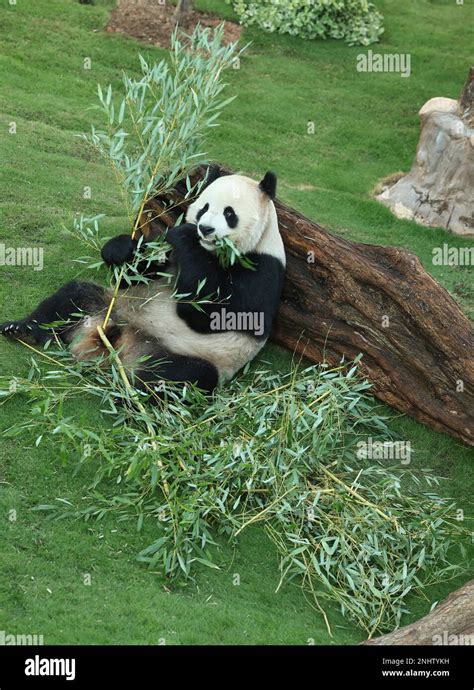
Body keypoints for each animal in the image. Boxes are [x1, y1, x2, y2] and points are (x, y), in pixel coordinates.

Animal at [0, 167, 286, 400]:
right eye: (204, 207)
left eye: (229, 213)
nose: (205, 229)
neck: (213, 253)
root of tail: (122, 348)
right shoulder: (168, 258)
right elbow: (138, 271)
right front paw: (121, 249)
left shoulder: (264, 268)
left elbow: (218, 314)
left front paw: (187, 237)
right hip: (109, 307)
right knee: (73, 297)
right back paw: (21, 329)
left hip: (193, 356)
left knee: (181, 377)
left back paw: (128, 400)